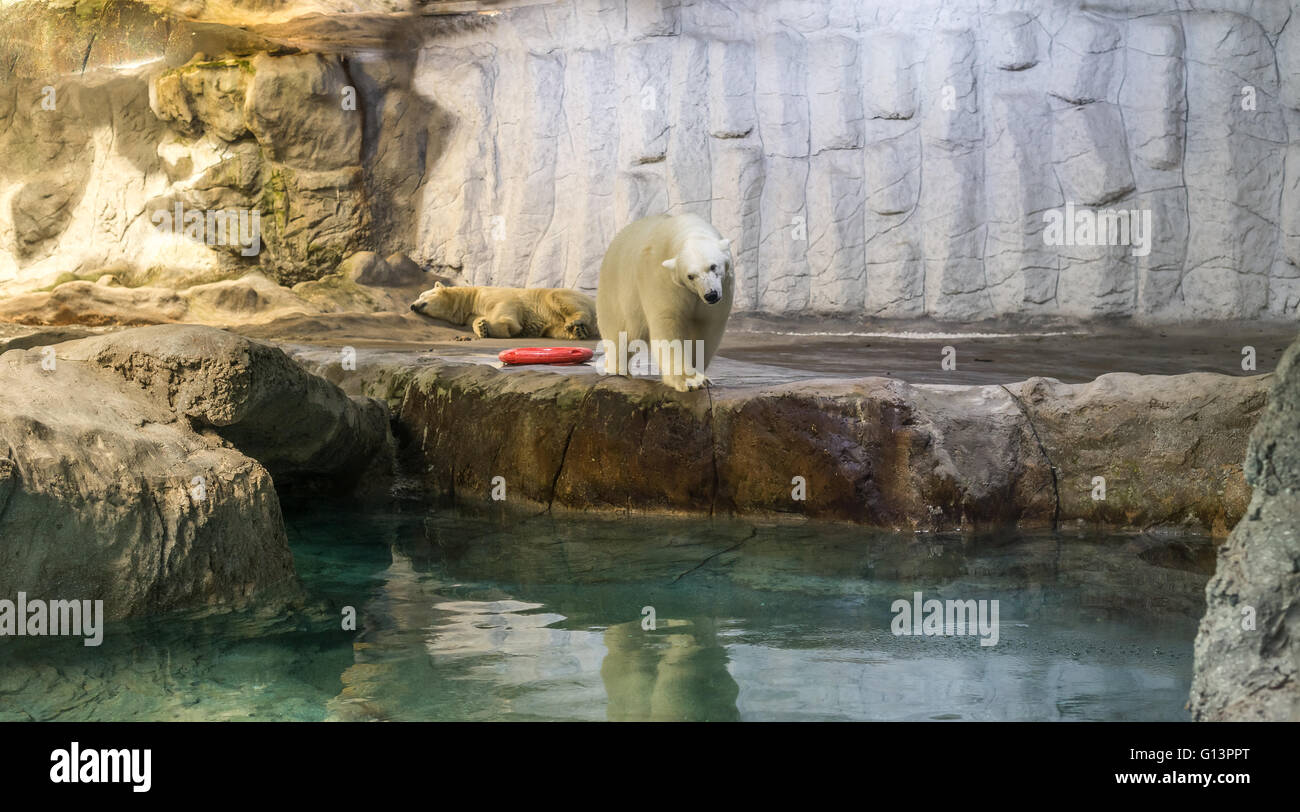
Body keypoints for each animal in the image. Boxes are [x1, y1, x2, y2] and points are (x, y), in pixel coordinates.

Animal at [410, 281, 598, 337]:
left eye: (422, 295)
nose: (412, 305)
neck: (469, 299)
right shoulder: (471, 313)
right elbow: (476, 319)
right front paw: (481, 327)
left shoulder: (492, 295)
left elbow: (503, 307)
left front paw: (496, 328)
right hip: (553, 324)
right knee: (555, 329)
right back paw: (578, 331)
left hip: (557, 296)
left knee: (559, 299)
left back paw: (575, 322)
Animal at [595, 211, 733, 389]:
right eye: (690, 276)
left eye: (713, 266)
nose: (711, 295)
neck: (686, 230)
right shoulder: (663, 280)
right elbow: (668, 322)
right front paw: (689, 380)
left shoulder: (723, 288)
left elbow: (707, 326)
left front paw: (703, 377)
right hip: (616, 289)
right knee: (620, 332)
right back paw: (619, 370)